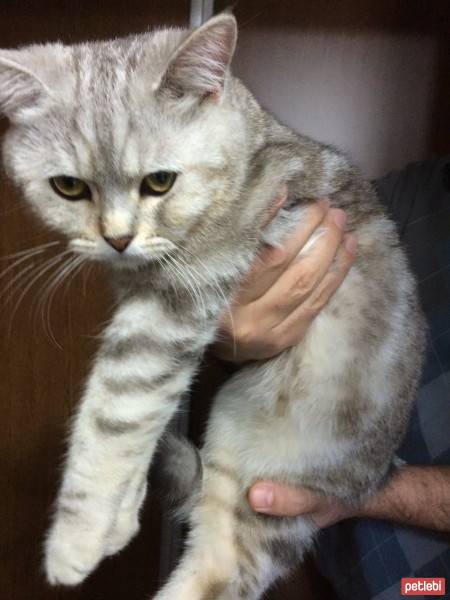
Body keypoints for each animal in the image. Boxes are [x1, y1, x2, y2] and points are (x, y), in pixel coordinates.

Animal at [0, 12, 426, 600]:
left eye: (160, 181)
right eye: (68, 187)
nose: (117, 239)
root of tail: (376, 474)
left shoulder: (171, 305)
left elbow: (113, 416)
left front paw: (77, 538)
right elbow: (137, 422)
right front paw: (119, 521)